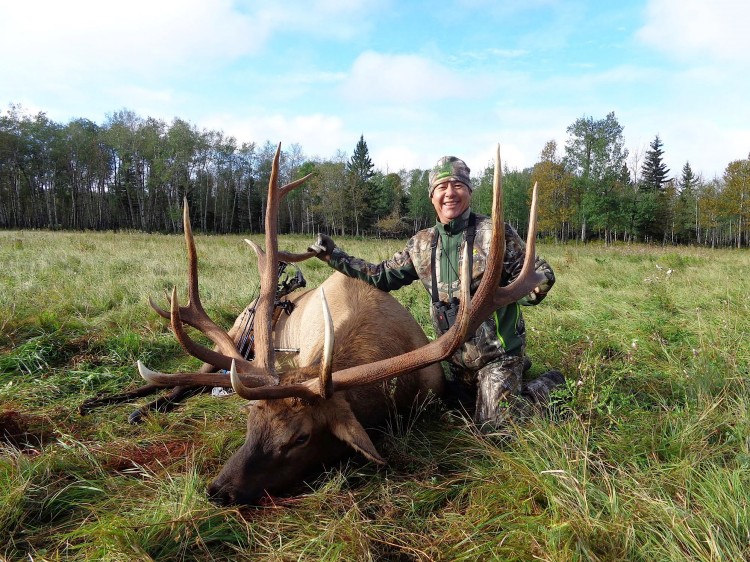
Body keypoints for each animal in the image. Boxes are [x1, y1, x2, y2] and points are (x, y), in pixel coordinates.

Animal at [81, 143, 543, 505]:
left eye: (301, 437)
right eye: (251, 422)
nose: (218, 489)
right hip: (229, 336)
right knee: (182, 378)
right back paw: (117, 403)